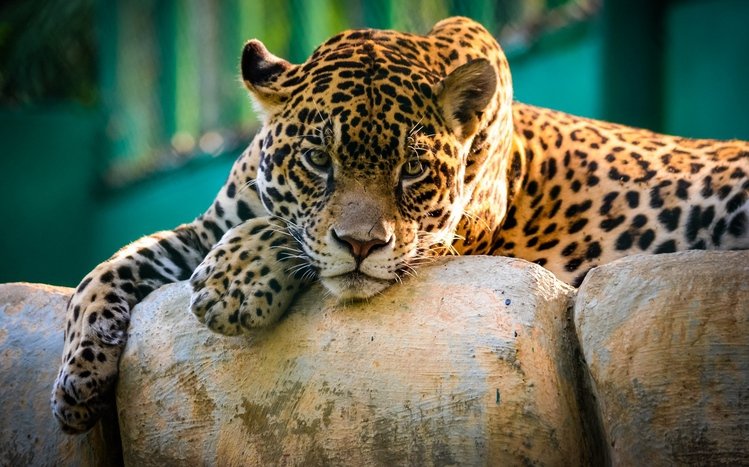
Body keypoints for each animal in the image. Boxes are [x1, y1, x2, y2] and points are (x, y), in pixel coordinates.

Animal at [52, 16, 749, 434]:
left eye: (412, 170)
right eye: (318, 160)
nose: (363, 245)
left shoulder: (447, 236)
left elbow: (296, 237)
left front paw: (233, 283)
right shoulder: (208, 225)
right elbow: (107, 268)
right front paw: (76, 381)